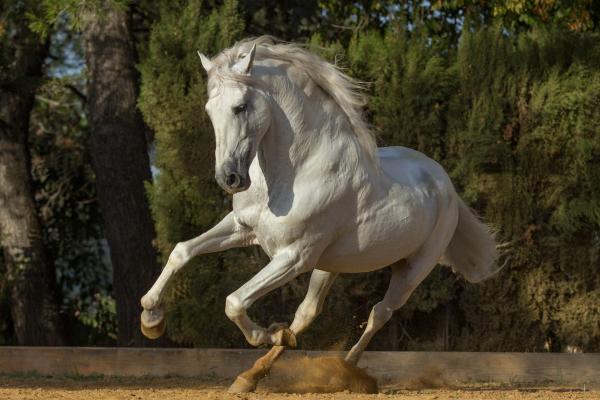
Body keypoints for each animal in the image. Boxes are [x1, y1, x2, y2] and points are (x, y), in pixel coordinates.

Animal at [139, 36, 496, 392]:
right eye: (209, 110)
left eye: (240, 107)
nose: (229, 178)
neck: (295, 172)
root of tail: (442, 181)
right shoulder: (242, 228)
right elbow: (182, 251)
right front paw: (150, 319)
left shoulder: (294, 257)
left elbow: (234, 302)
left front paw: (267, 332)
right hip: (331, 265)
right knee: (307, 313)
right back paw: (251, 375)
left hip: (413, 269)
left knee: (379, 313)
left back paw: (346, 369)